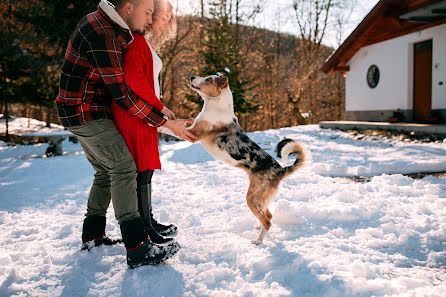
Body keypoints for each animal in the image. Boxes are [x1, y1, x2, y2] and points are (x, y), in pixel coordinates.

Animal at [188, 73, 306, 243]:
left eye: (208, 79)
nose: (191, 76)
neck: (215, 104)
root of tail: (280, 170)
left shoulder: (192, 133)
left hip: (252, 198)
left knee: (267, 220)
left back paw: (258, 241)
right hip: (260, 199)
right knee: (268, 215)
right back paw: (258, 228)